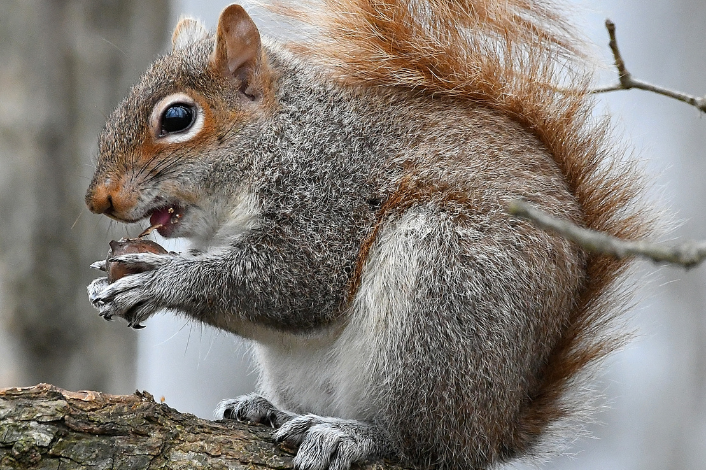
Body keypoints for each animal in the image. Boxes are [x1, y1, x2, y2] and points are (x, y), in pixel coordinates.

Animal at [86, 1, 652, 469]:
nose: (98, 200)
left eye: (178, 117)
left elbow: (300, 283)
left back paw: (354, 435)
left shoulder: (332, 193)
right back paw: (268, 411)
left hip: (441, 298)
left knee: (423, 446)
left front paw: (156, 277)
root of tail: (497, 431)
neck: (282, 137)